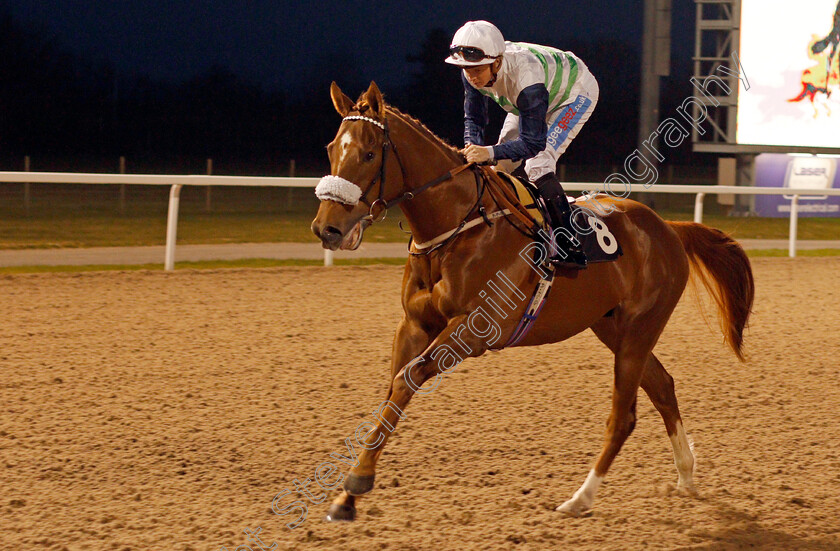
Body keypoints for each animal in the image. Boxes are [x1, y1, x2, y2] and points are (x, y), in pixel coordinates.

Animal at [310, 81, 756, 520]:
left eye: (369, 153)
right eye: (331, 148)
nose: (327, 228)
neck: (459, 226)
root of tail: (669, 228)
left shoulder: (473, 332)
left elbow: (406, 381)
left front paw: (357, 481)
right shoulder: (415, 324)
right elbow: (391, 391)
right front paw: (346, 496)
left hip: (640, 329)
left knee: (623, 416)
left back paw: (580, 498)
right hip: (613, 327)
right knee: (662, 386)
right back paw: (686, 475)